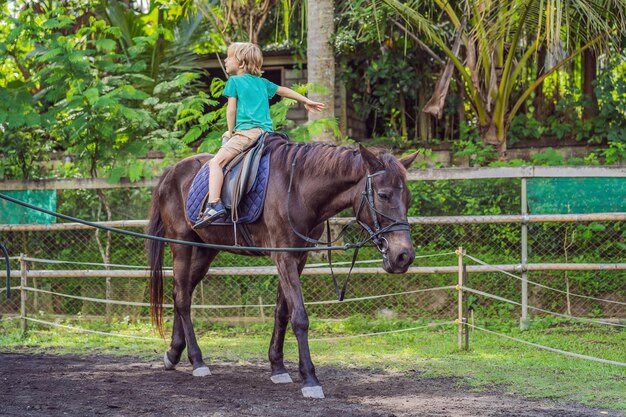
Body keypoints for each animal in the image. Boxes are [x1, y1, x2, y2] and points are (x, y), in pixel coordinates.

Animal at [147, 132, 416, 396]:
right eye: (383, 195)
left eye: (408, 199)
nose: (404, 256)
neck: (298, 189)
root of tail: (172, 170)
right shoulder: (284, 256)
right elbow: (299, 317)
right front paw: (310, 379)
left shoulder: (298, 257)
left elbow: (282, 312)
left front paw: (278, 367)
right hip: (181, 245)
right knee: (183, 298)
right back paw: (197, 361)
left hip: (206, 250)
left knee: (182, 292)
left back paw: (174, 353)